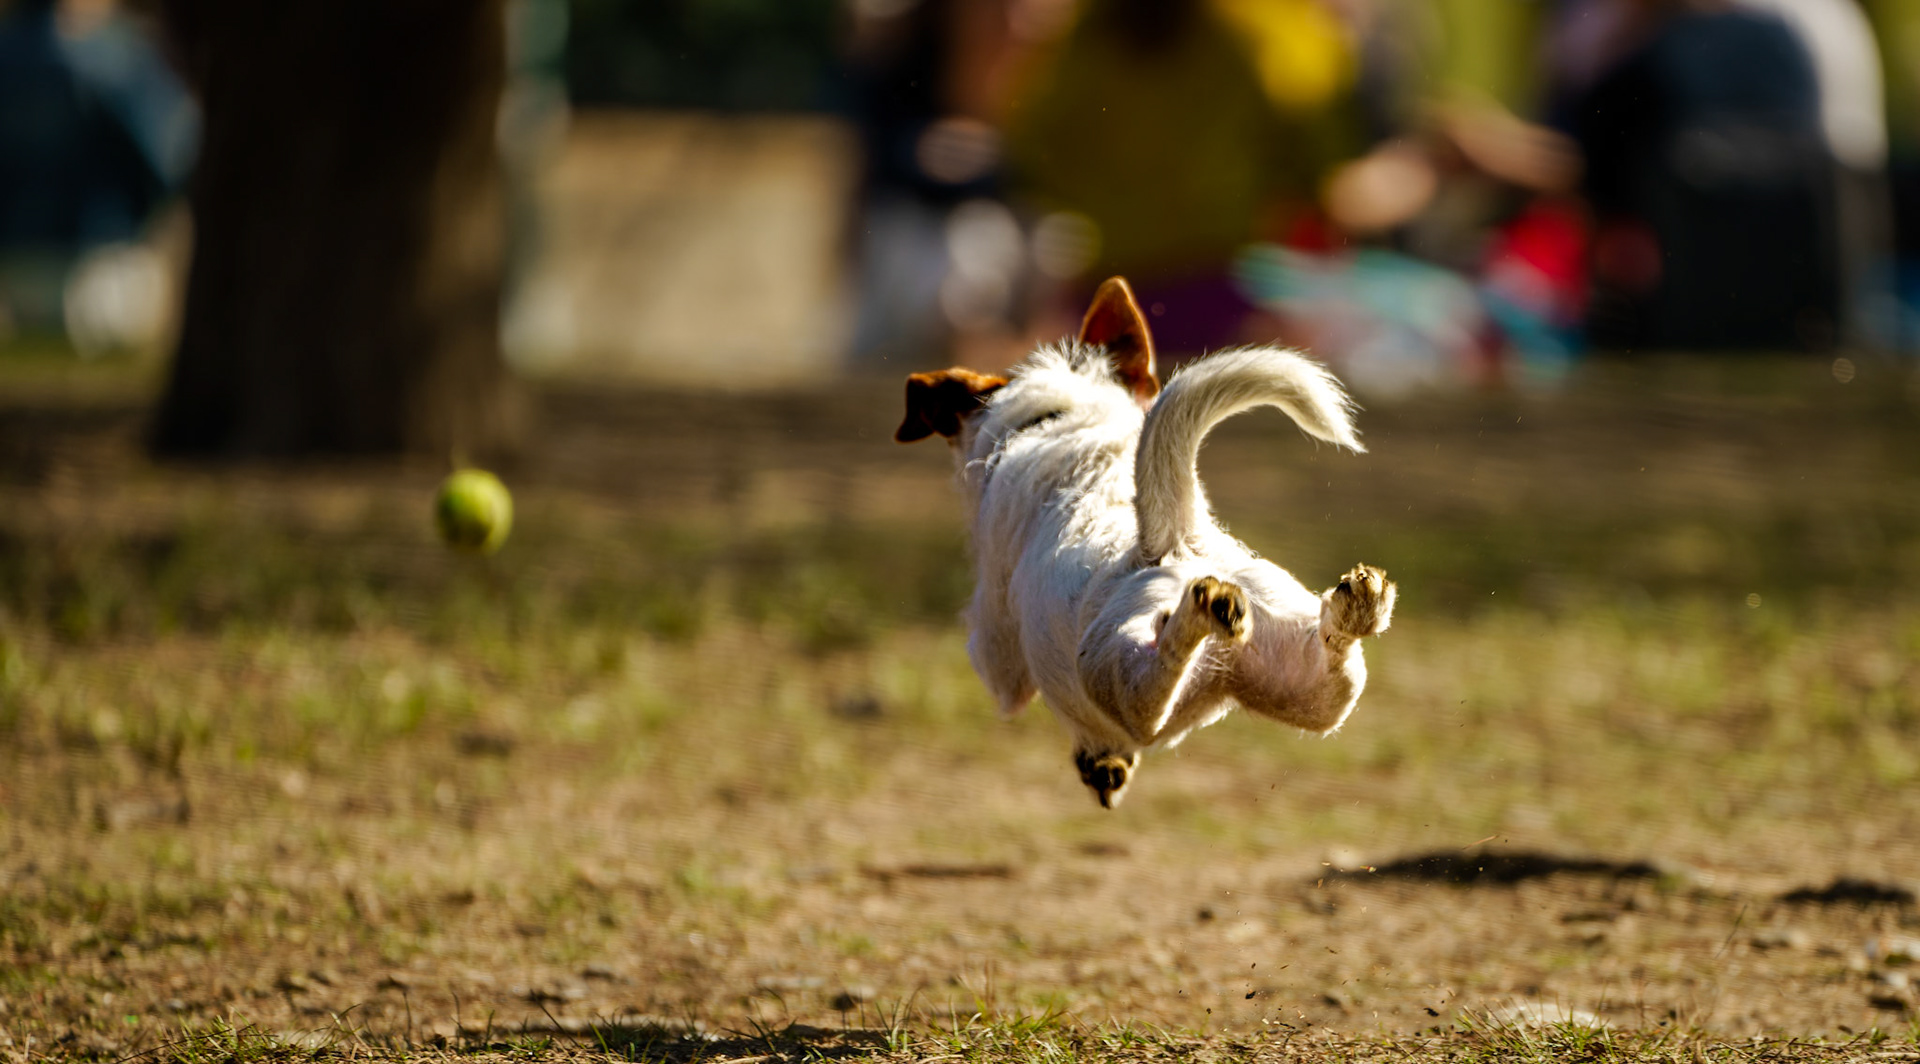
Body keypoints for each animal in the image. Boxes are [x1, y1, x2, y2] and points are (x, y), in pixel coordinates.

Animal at [896, 277, 1396, 808]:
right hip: (1308, 685)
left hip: (1107, 663)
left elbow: (998, 672)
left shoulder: (998, 660)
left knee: (1153, 685)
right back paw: (1359, 603)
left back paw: (1204, 613)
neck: (1065, 420)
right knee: (1338, 658)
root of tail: (1175, 537)